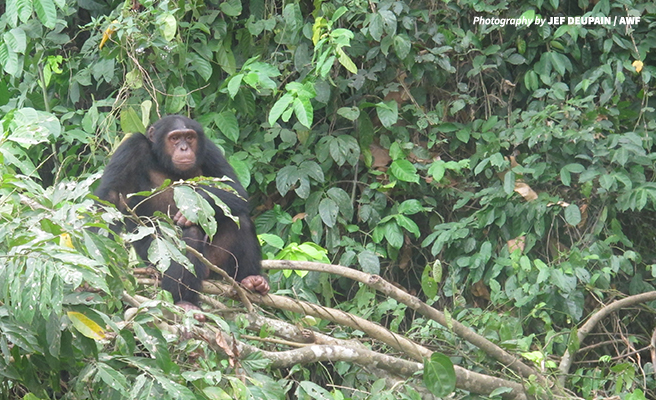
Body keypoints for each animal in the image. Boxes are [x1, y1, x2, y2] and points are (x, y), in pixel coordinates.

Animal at [95, 114, 270, 318]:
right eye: (174, 138)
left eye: (189, 137)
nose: (184, 148)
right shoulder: (130, 147)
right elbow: (110, 199)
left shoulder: (210, 149)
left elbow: (234, 189)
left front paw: (194, 209)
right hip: (156, 258)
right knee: (190, 237)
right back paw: (184, 302)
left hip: (216, 264)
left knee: (239, 220)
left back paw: (252, 280)